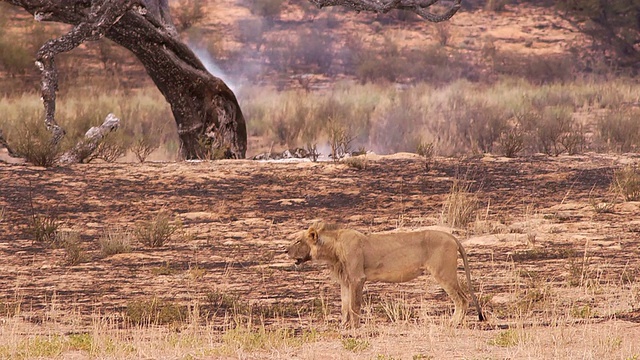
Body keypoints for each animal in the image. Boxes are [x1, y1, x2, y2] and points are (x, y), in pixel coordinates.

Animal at [286, 221, 484, 328]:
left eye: (298, 241)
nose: (285, 250)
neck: (333, 249)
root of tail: (452, 237)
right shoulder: (345, 281)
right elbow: (344, 306)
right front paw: (343, 326)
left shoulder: (357, 278)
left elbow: (354, 305)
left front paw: (355, 328)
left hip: (444, 274)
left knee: (462, 299)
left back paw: (453, 323)